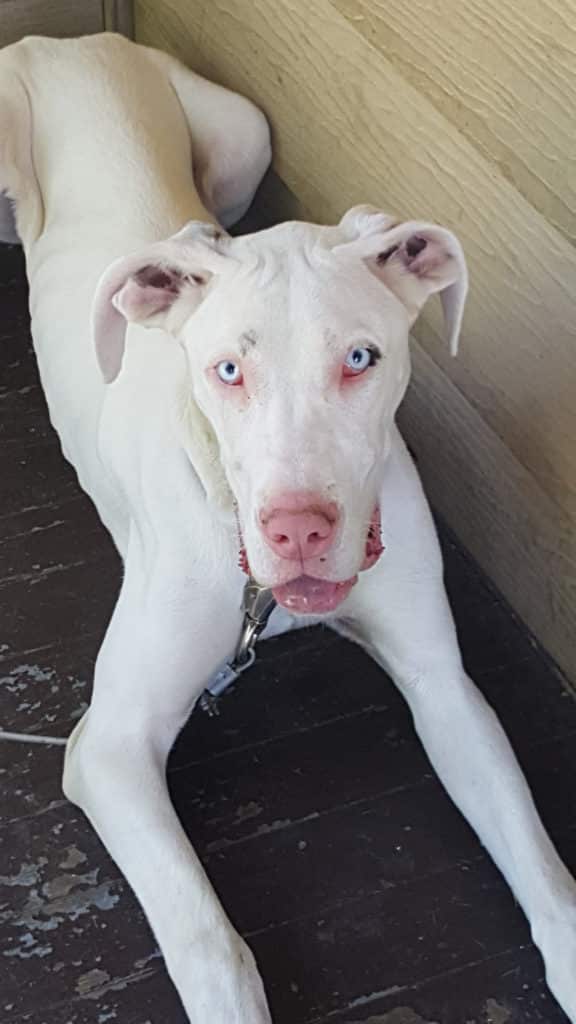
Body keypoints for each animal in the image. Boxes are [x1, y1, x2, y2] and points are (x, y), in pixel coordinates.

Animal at [1, 29, 573, 1024]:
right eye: (226, 370)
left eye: (362, 358)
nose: (299, 531)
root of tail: (70, 38)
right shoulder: (110, 745)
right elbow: (210, 944)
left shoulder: (445, 686)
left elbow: (545, 874)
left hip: (243, 138)